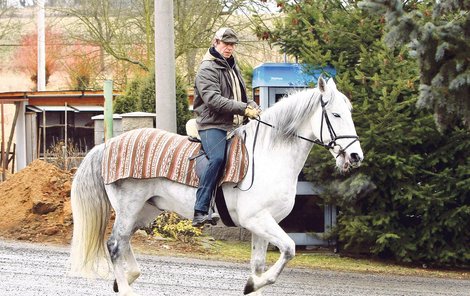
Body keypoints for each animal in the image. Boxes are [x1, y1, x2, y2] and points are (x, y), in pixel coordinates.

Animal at [70, 77, 364, 296]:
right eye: (336, 114)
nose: (355, 156)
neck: (268, 155)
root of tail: (108, 146)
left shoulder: (263, 223)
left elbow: (259, 266)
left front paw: (252, 284)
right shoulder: (257, 220)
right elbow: (289, 249)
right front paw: (252, 284)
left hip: (145, 211)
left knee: (125, 242)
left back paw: (127, 277)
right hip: (129, 207)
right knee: (114, 245)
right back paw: (126, 286)